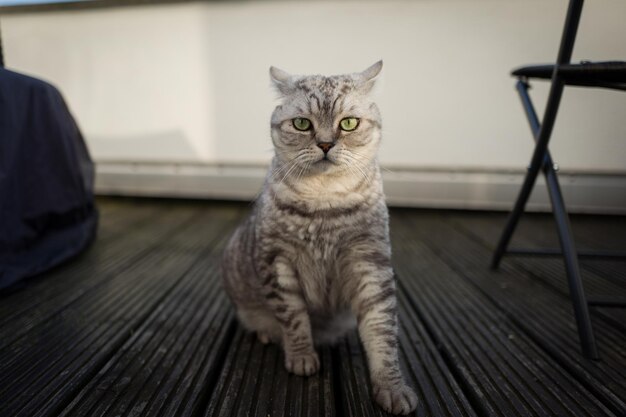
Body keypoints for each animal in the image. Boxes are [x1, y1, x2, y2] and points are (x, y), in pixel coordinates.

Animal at [222, 61, 416, 412]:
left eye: (349, 123)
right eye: (302, 124)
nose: (325, 144)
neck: (325, 198)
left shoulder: (371, 260)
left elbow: (382, 332)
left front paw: (392, 388)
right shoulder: (278, 261)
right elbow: (294, 318)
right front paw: (301, 357)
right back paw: (268, 333)